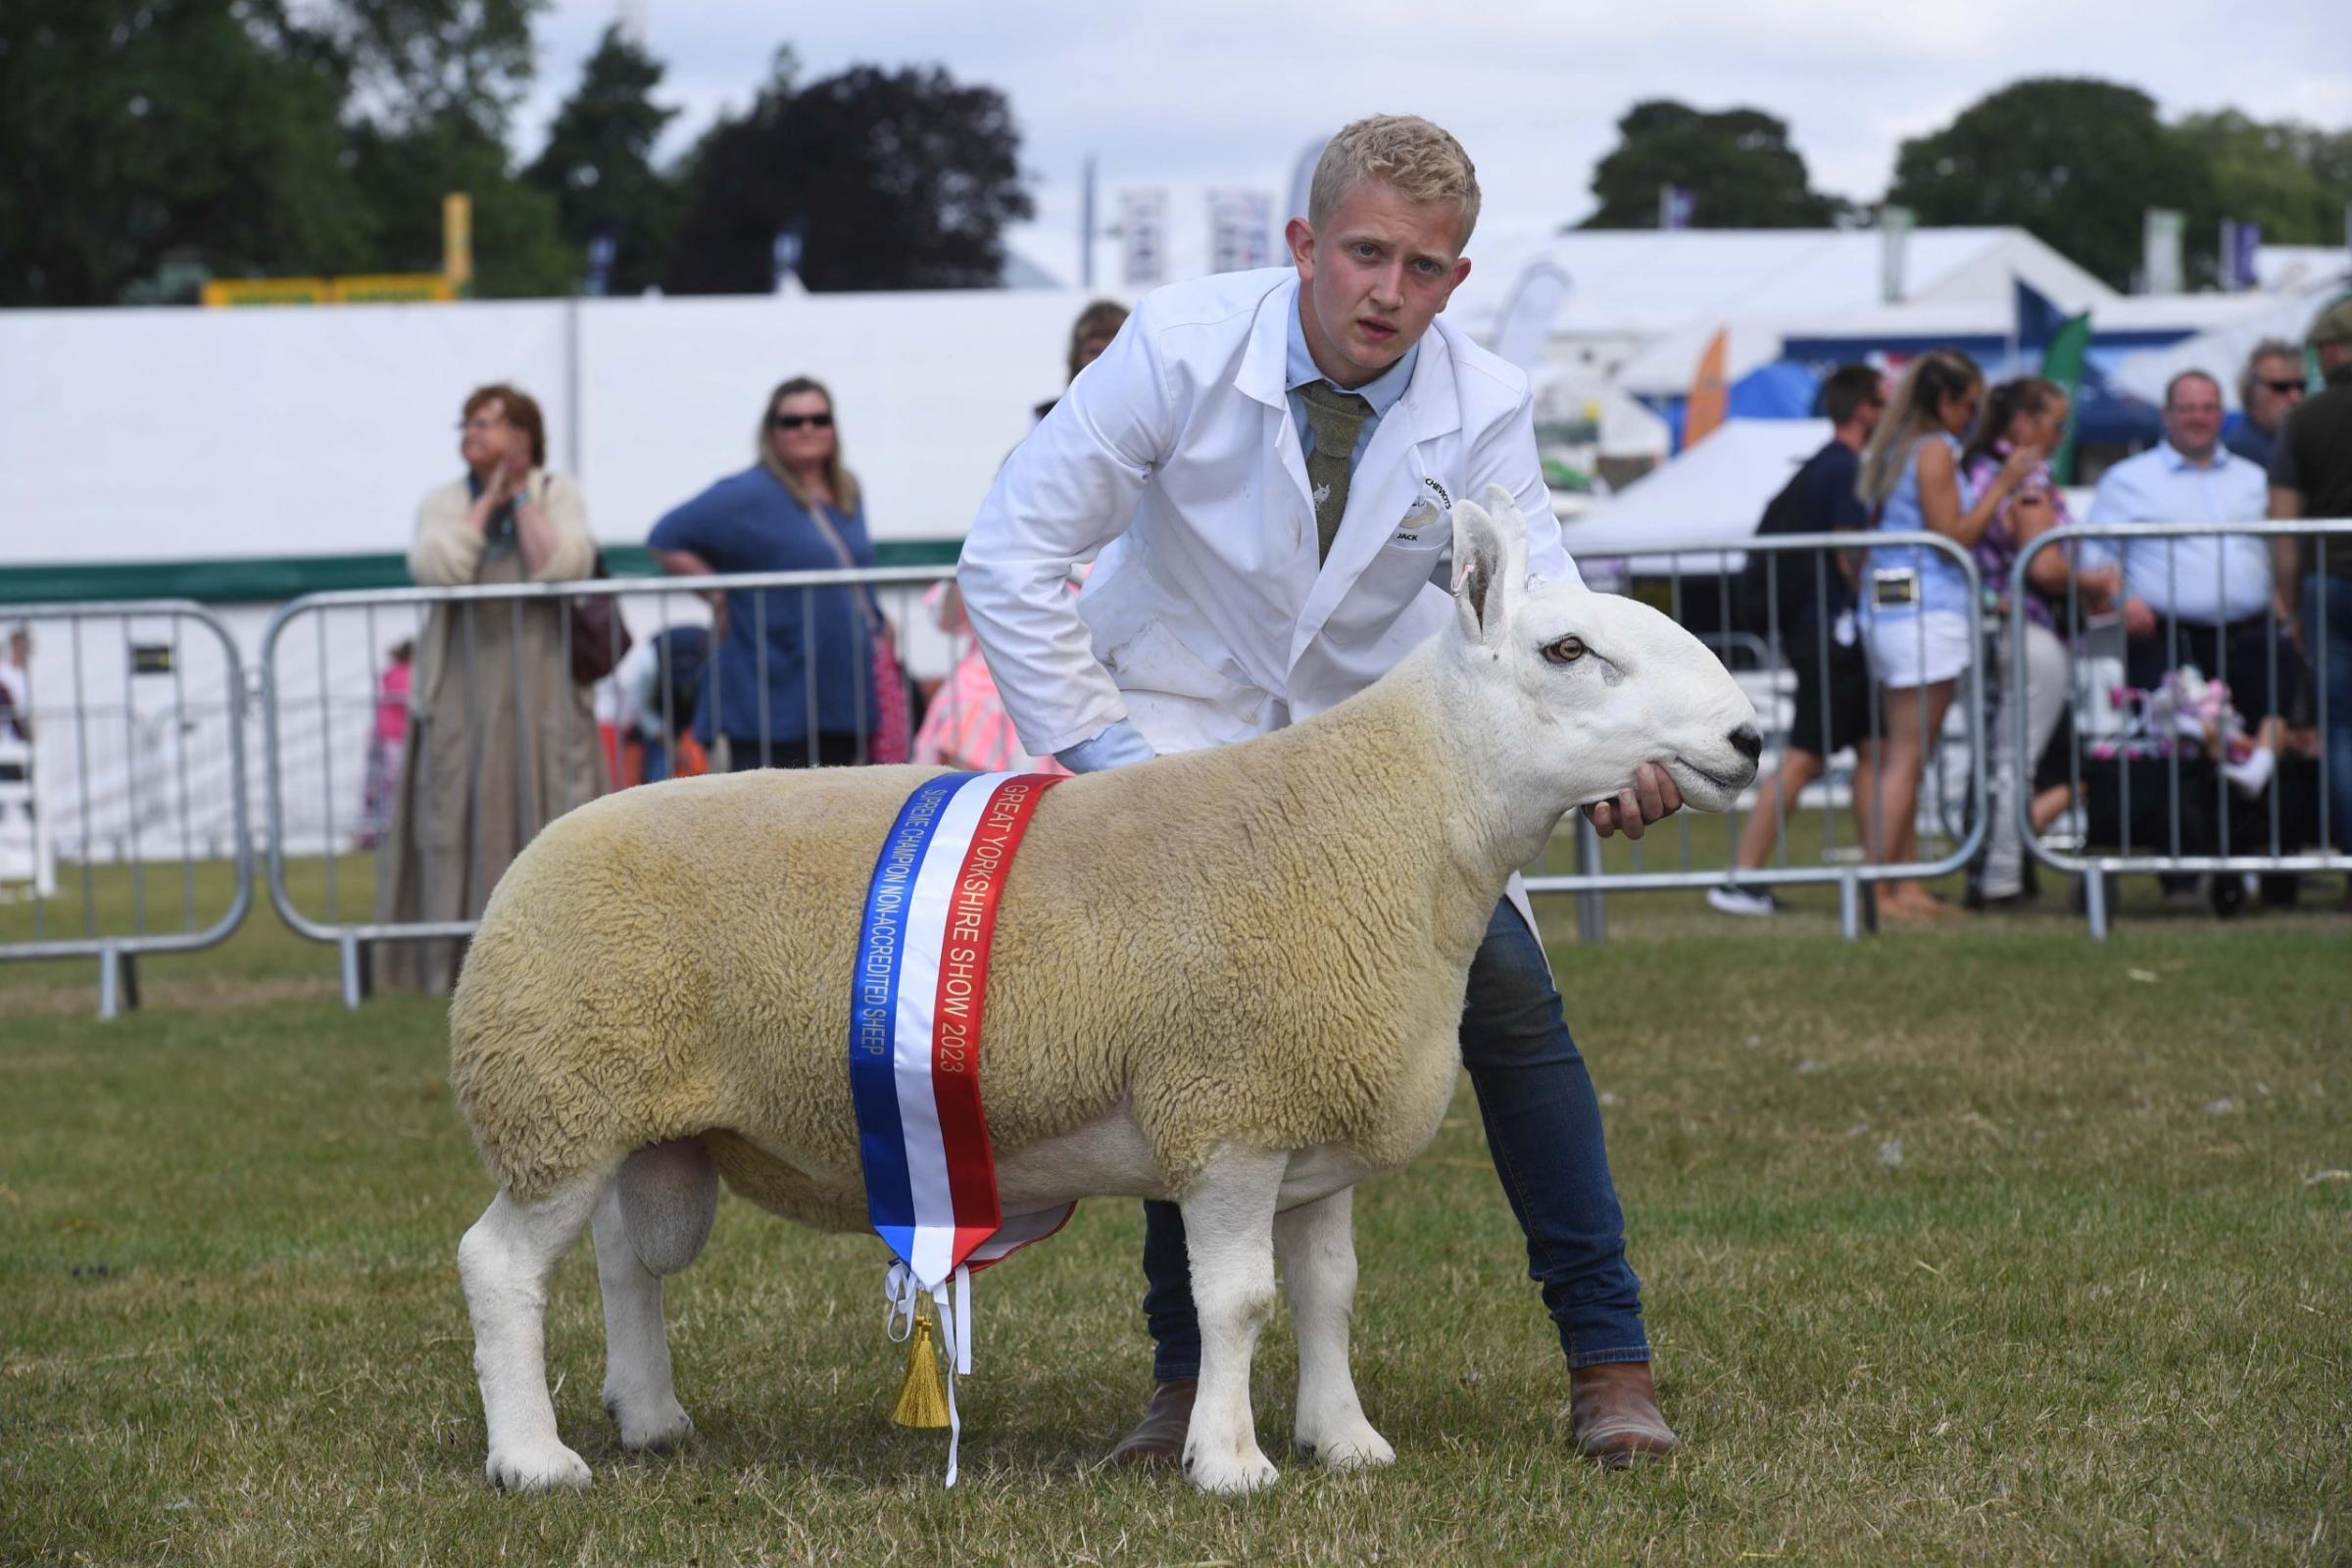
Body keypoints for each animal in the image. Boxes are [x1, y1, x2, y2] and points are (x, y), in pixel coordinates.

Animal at [449, 491, 1759, 1494]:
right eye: (1568, 652)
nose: (1749, 738)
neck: (1390, 818)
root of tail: (536, 850)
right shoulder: (1230, 1113)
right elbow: (1236, 1302)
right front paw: (1230, 1462)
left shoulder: (1315, 1114)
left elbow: (1328, 1292)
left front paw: (1344, 1442)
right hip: (556, 1092)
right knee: (502, 1266)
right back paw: (534, 1460)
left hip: (635, 1113)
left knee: (623, 1261)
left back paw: (649, 1416)